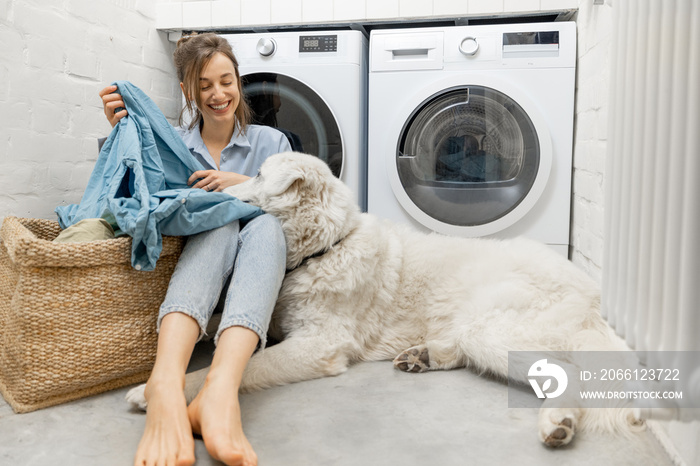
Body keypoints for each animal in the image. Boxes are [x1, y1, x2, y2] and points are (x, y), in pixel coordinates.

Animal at [127, 153, 644, 448]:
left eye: (257, 173)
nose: (206, 187)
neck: (325, 247)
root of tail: (591, 296)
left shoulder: (319, 345)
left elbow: (242, 366)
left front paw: (152, 392)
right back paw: (422, 357)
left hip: (493, 328)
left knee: (568, 376)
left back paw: (558, 423)